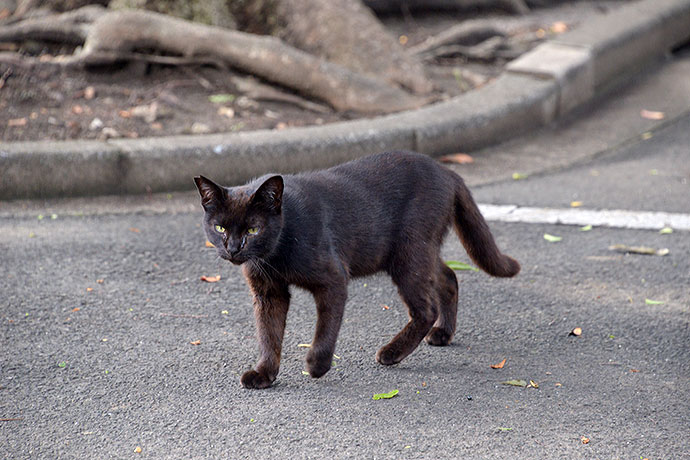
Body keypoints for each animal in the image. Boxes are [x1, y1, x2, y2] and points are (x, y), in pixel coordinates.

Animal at [194, 151, 516, 388]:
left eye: (253, 229)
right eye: (220, 227)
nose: (233, 248)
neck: (273, 255)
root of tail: (447, 171)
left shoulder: (334, 279)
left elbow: (326, 327)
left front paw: (317, 365)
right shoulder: (268, 292)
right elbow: (268, 333)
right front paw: (264, 374)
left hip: (409, 254)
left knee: (426, 308)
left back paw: (392, 352)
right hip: (419, 252)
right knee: (448, 278)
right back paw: (443, 334)